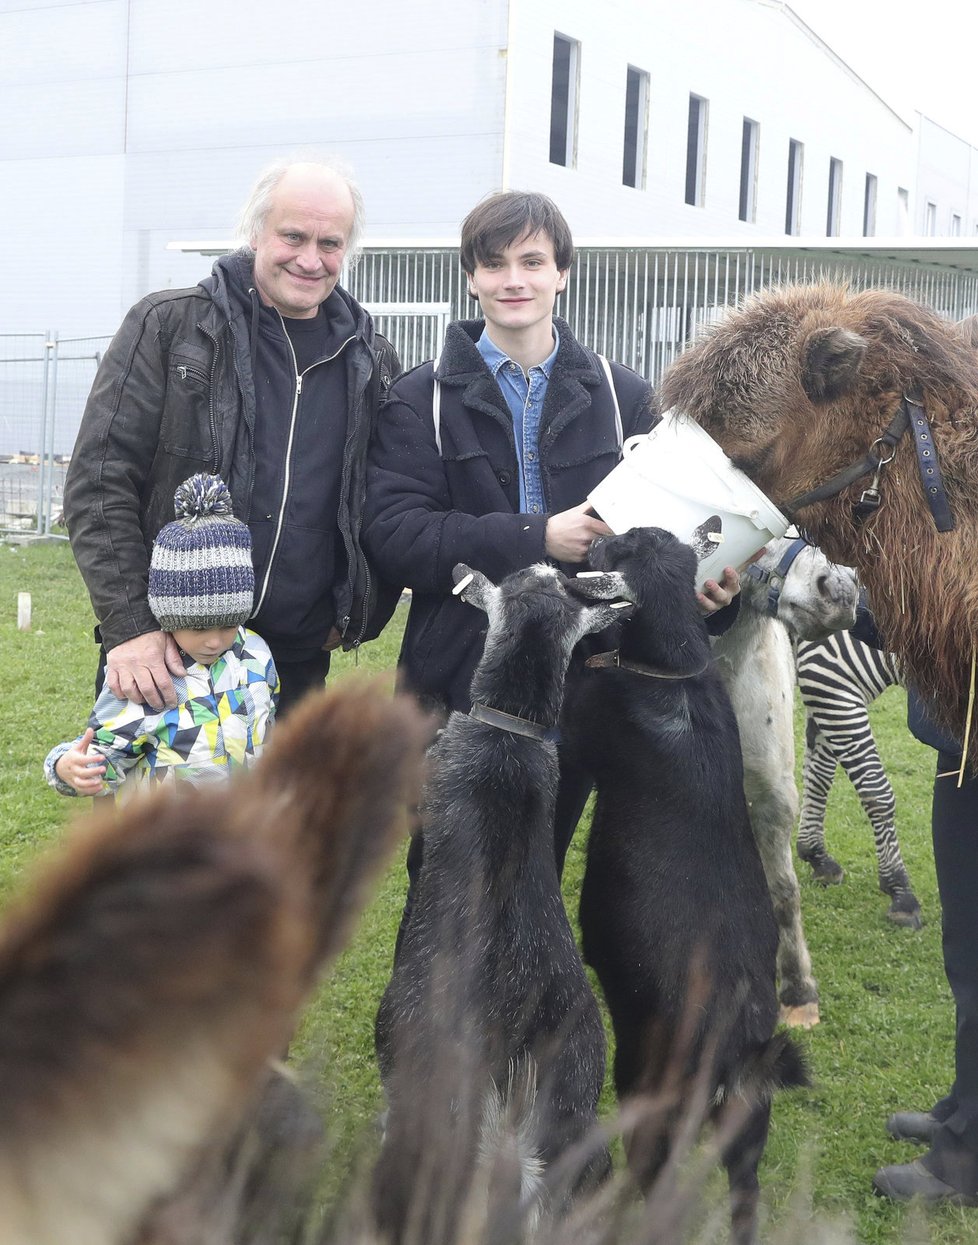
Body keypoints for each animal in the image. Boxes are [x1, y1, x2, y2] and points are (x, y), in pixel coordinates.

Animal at [559, 525, 806, 1245]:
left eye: (618, 548)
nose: (596, 535)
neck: (677, 666)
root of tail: (737, 1048)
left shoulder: (582, 721)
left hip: (647, 1088)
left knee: (655, 1183)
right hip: (747, 1125)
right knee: (745, 1195)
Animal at [786, 637, 920, 931]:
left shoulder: (823, 693)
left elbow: (819, 773)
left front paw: (816, 855)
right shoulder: (827, 676)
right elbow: (876, 792)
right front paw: (900, 892)